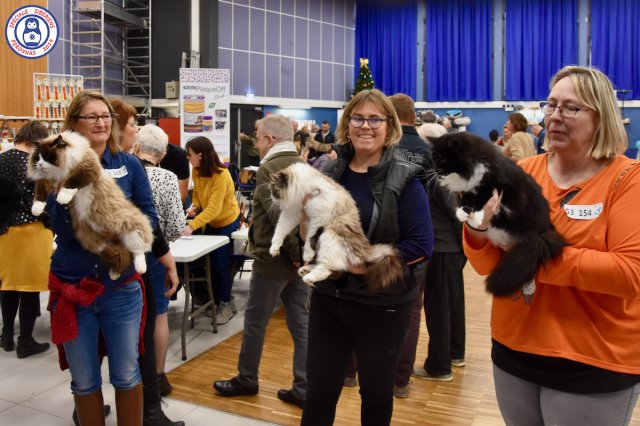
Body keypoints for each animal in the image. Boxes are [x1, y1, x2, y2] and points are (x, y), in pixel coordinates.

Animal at [27, 131, 154, 279]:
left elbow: (70, 184)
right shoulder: (46, 181)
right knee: (120, 256)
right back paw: (114, 273)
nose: (40, 165)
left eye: (47, 157)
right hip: (97, 243)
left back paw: (141, 268)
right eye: (37, 158)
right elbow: (40, 195)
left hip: (132, 231)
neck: (60, 170)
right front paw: (36, 209)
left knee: (138, 251)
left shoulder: (86, 169)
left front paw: (62, 198)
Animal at [268, 162, 404, 292]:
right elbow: (280, 231)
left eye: (274, 192)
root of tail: (366, 250)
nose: (272, 199)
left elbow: (309, 238)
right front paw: (274, 249)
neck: (303, 188)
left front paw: (307, 255)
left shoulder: (319, 218)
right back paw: (305, 270)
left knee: (330, 269)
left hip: (329, 236)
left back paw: (308, 277)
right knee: (333, 269)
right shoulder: (292, 213)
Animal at [428, 132, 567, 299]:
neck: (471, 168)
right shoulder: (466, 191)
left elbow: (485, 200)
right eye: (434, 158)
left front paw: (477, 217)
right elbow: (465, 200)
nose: (435, 170)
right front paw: (463, 213)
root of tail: (542, 235)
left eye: (442, 159)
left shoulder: (497, 187)